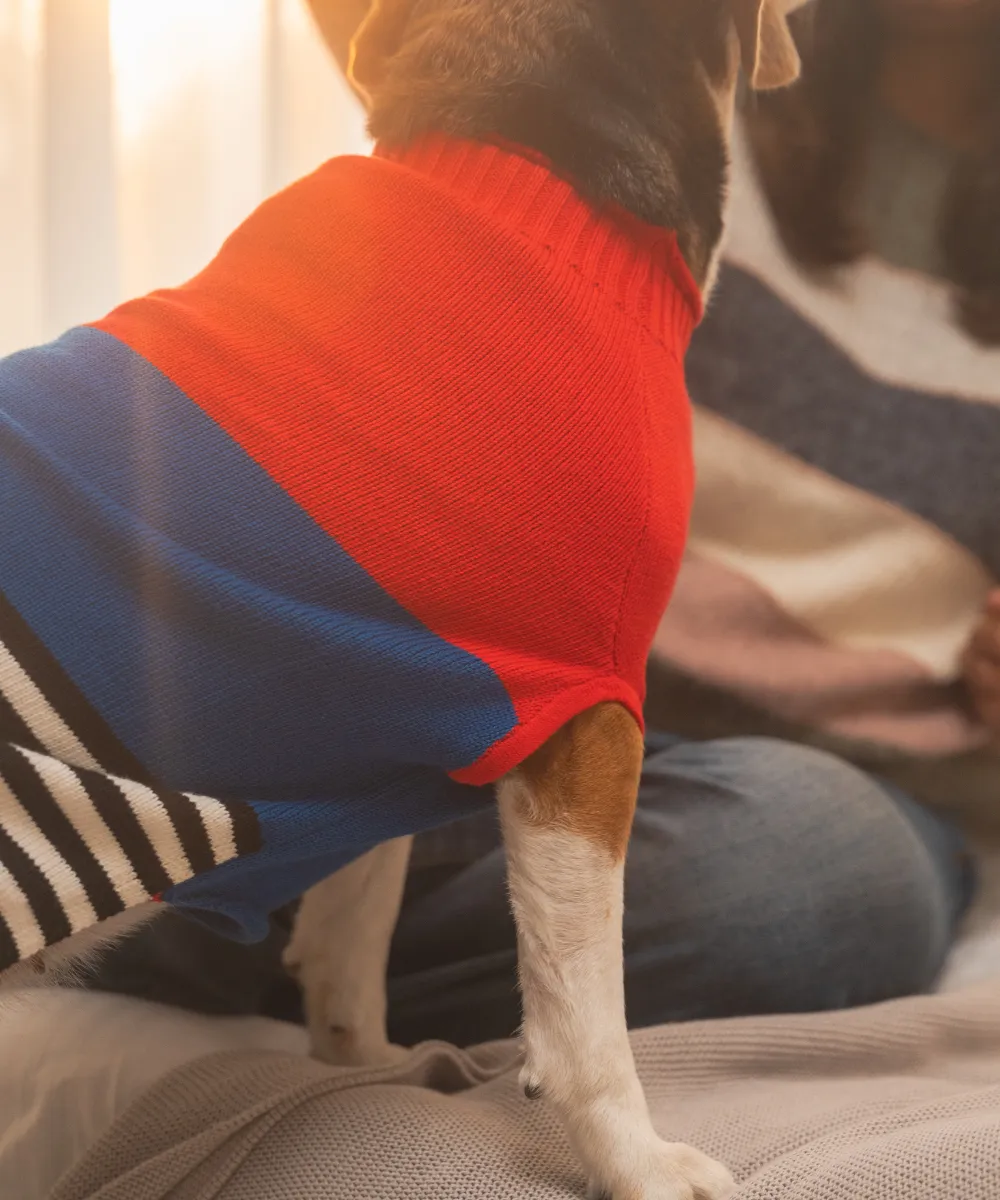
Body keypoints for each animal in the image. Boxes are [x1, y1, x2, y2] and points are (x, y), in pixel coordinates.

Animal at [0, 2, 801, 1200]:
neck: (520, 153)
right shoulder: (586, 720)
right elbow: (587, 1019)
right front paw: (637, 1161)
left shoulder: (400, 740)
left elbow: (350, 939)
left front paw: (370, 1066)